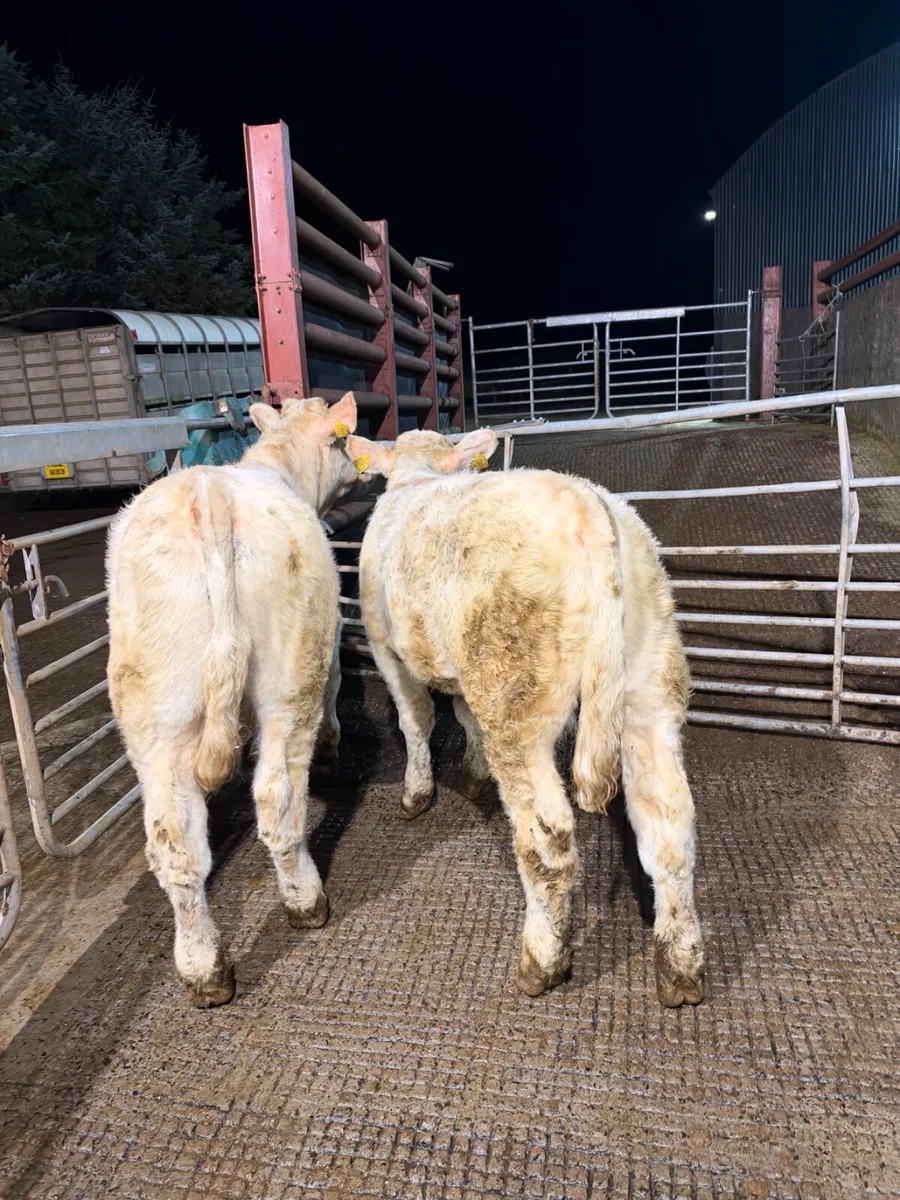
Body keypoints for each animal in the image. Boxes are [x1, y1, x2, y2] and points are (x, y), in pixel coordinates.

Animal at [106, 394, 360, 1007]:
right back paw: (305, 901)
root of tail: (209, 496)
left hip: (153, 710)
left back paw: (204, 968)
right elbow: (337, 683)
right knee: (277, 796)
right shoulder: (327, 642)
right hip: (288, 680)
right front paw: (333, 750)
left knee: (173, 844)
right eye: (343, 440)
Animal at [346, 427, 704, 1007]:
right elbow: (462, 713)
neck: (417, 477)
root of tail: (585, 505)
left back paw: (541, 960)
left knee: (547, 839)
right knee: (669, 825)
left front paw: (417, 793)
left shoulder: (386, 649)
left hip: (517, 701)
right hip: (649, 682)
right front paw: (472, 774)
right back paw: (681, 969)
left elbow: (415, 720)